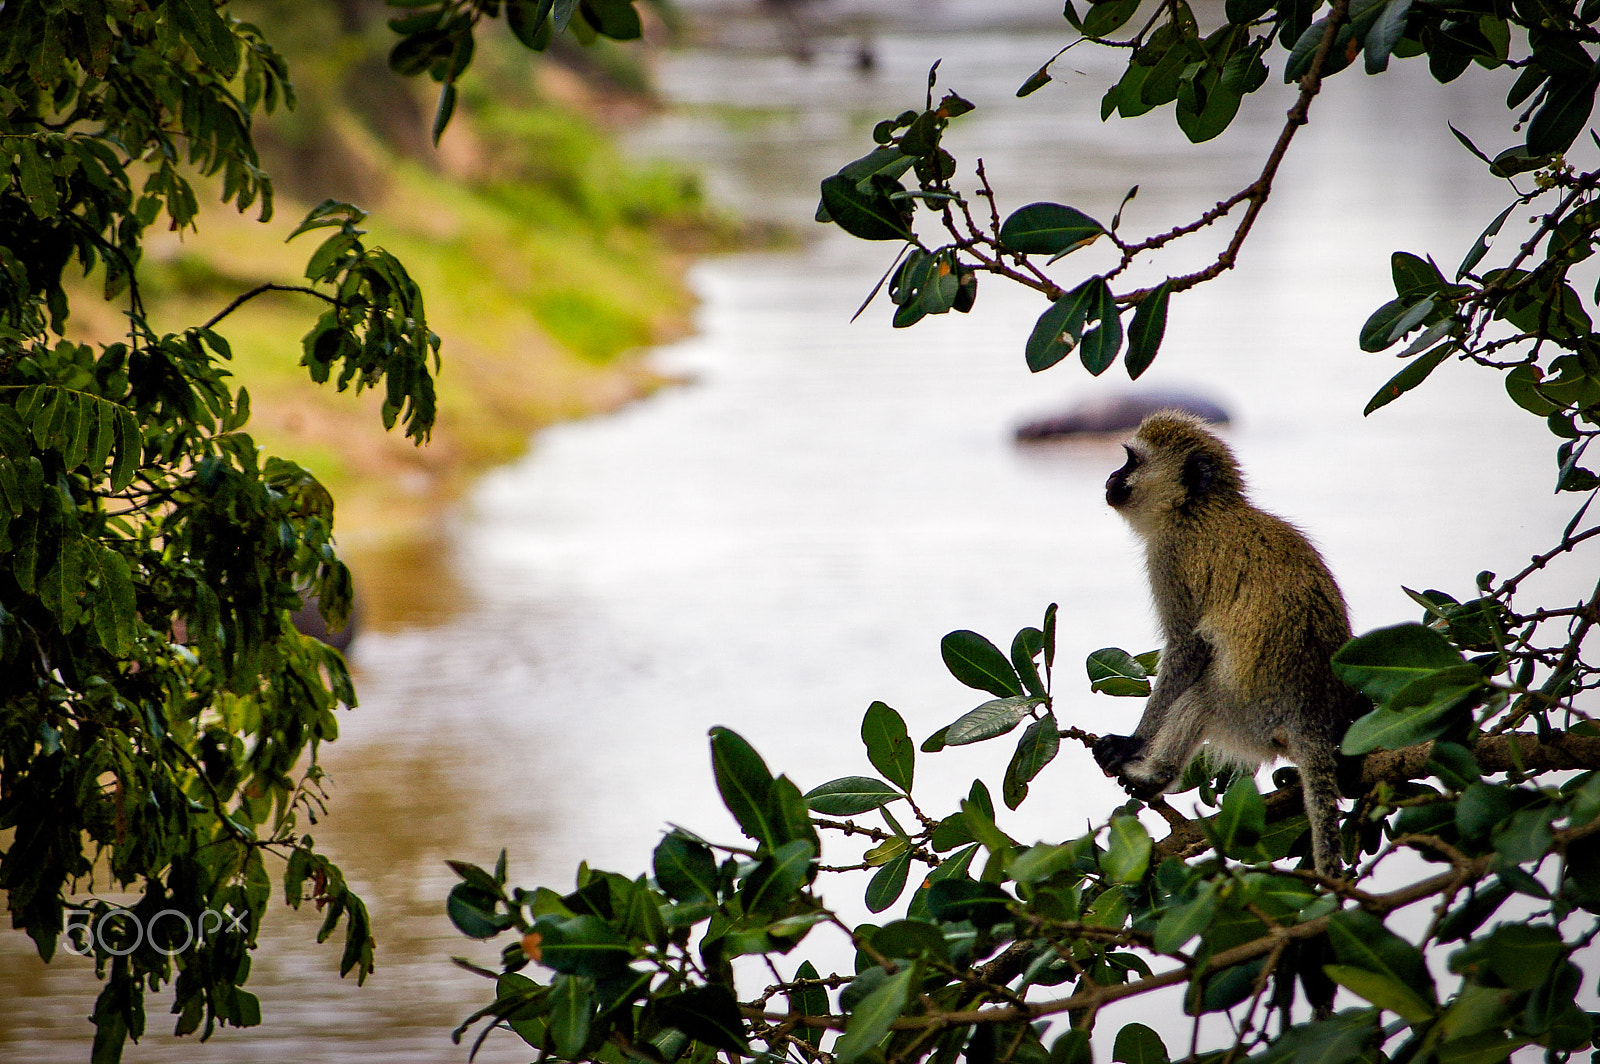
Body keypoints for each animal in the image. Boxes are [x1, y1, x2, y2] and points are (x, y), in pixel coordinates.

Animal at [1094, 409, 1356, 876]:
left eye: (1131, 461)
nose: (1110, 476)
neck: (1198, 507)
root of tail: (1313, 717)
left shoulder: (1169, 554)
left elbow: (1187, 650)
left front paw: (1133, 742)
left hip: (1248, 718)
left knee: (1200, 697)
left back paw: (1155, 775)